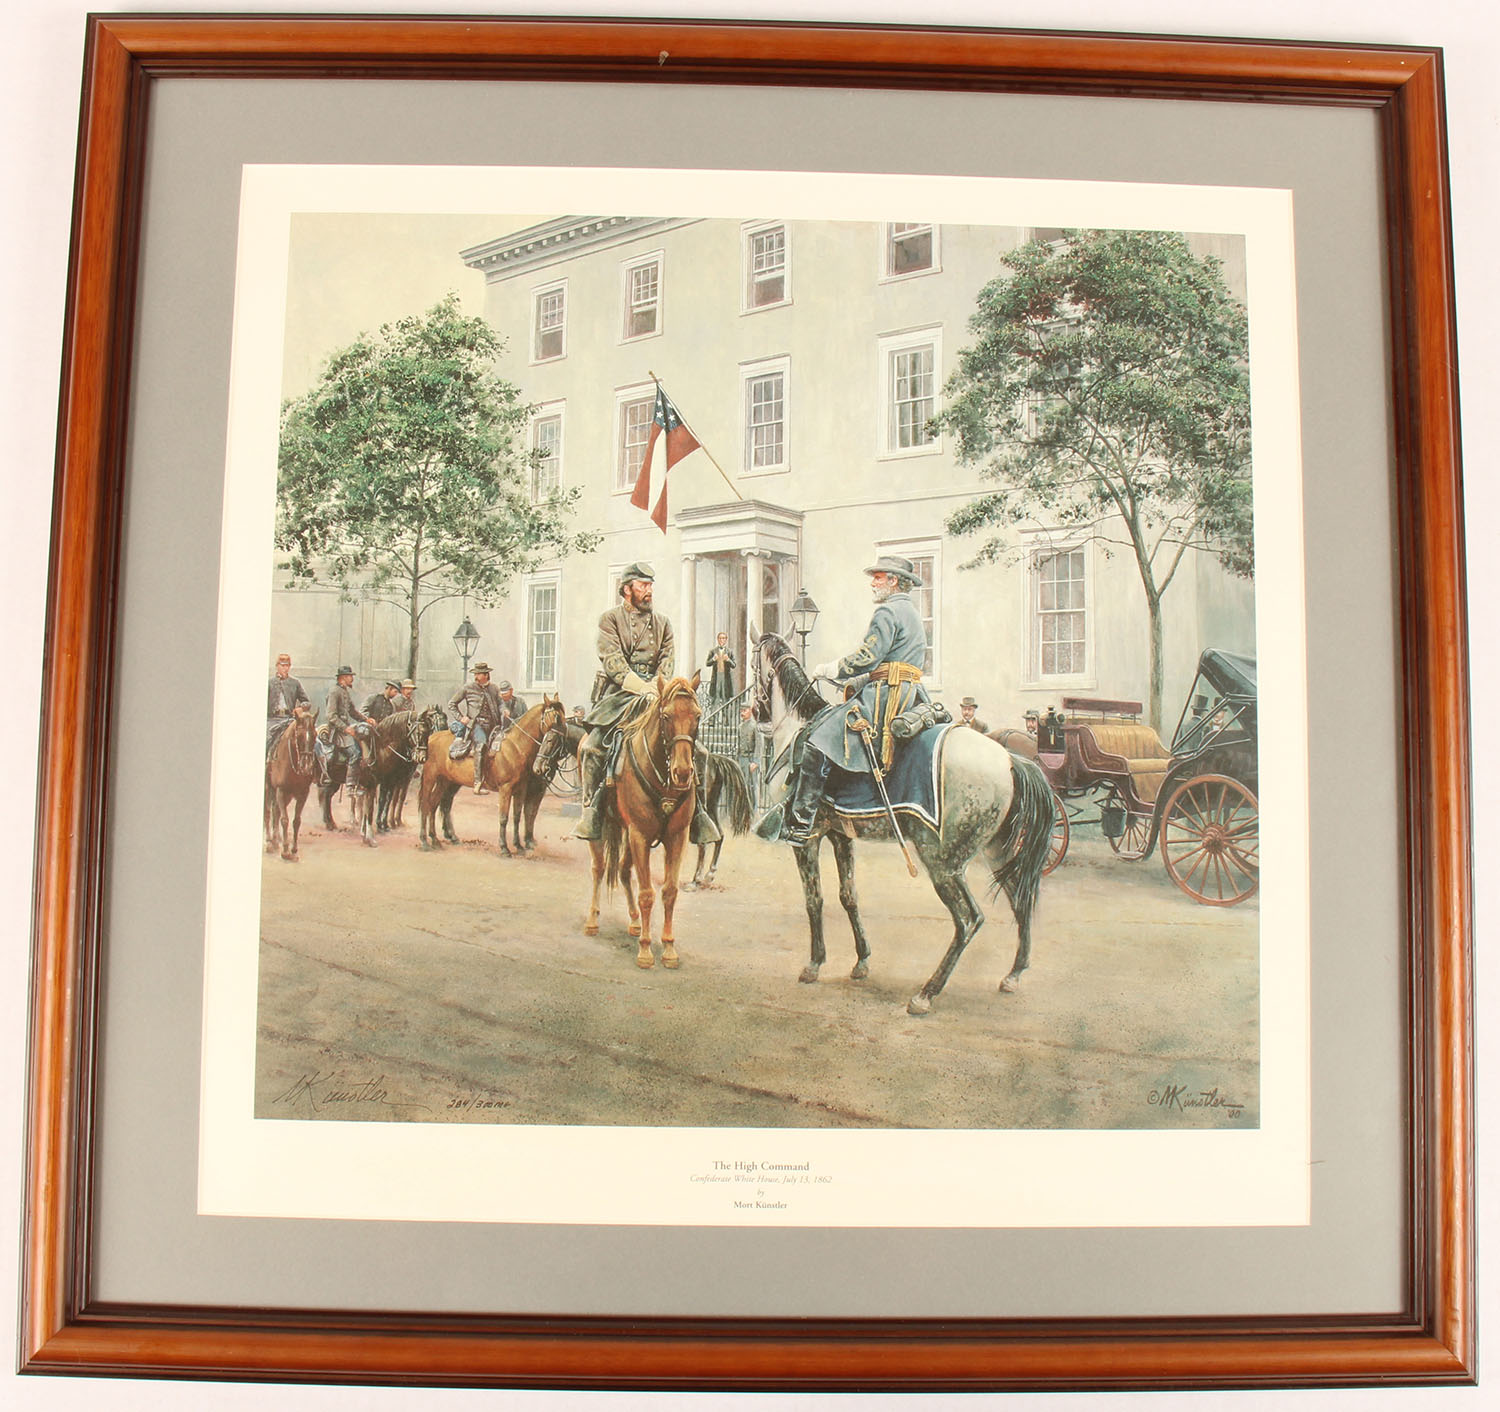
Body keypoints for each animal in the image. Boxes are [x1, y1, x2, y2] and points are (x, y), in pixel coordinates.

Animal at [264, 704, 317, 861]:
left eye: (315, 735)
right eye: (299, 736)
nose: (306, 766)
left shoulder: (303, 794)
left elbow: (296, 821)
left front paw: (293, 849)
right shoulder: (281, 790)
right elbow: (284, 819)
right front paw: (286, 850)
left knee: (275, 811)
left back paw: (275, 841)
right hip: (269, 788)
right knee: (268, 812)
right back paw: (269, 842)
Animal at [417, 696, 566, 853]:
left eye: (563, 715)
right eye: (556, 717)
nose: (563, 731)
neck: (516, 747)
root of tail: (431, 738)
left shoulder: (521, 790)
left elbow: (517, 816)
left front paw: (518, 846)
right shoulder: (506, 789)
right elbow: (504, 817)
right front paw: (504, 847)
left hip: (445, 781)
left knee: (434, 804)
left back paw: (435, 839)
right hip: (430, 778)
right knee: (426, 804)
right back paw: (425, 841)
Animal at [584, 672, 702, 970]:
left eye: (697, 716)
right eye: (666, 716)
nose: (683, 772)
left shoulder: (676, 836)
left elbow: (669, 891)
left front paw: (668, 948)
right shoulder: (640, 834)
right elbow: (647, 893)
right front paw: (646, 950)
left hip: (627, 832)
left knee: (624, 871)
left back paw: (636, 922)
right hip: (604, 827)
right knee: (599, 868)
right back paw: (592, 920)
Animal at [683, 749, 754, 890]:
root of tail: (714, 759)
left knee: (703, 843)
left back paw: (696, 880)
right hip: (712, 805)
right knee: (719, 835)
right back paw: (710, 874)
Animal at [751, 633, 1055, 1015]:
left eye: (751, 663)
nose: (753, 713)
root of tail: (1011, 760)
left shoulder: (808, 838)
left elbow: (814, 899)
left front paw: (814, 963)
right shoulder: (840, 836)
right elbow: (848, 896)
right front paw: (862, 960)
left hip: (943, 863)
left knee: (969, 920)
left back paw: (926, 993)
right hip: (996, 853)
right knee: (1021, 898)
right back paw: (1014, 973)